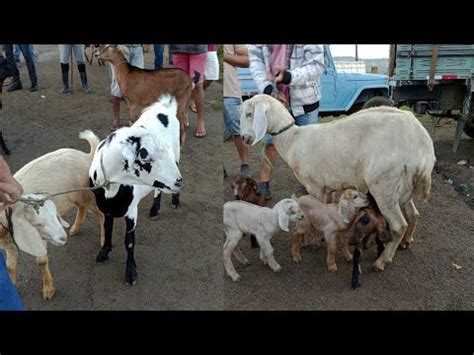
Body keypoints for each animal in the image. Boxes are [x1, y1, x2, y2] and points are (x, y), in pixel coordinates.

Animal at [90, 94, 182, 286]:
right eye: (145, 154)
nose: (179, 181)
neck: (112, 188)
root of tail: (165, 107)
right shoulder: (106, 208)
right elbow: (107, 228)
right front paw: (104, 252)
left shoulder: (132, 211)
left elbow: (129, 241)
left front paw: (131, 273)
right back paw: (155, 209)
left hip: (177, 153)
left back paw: (172, 202)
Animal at [243, 95, 436, 272]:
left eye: (248, 113)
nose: (244, 138)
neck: (292, 140)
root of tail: (423, 146)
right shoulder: (328, 187)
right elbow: (323, 208)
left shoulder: (314, 185)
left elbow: (314, 211)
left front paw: (315, 241)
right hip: (404, 187)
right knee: (413, 214)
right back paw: (406, 242)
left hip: (384, 186)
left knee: (399, 226)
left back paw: (382, 261)